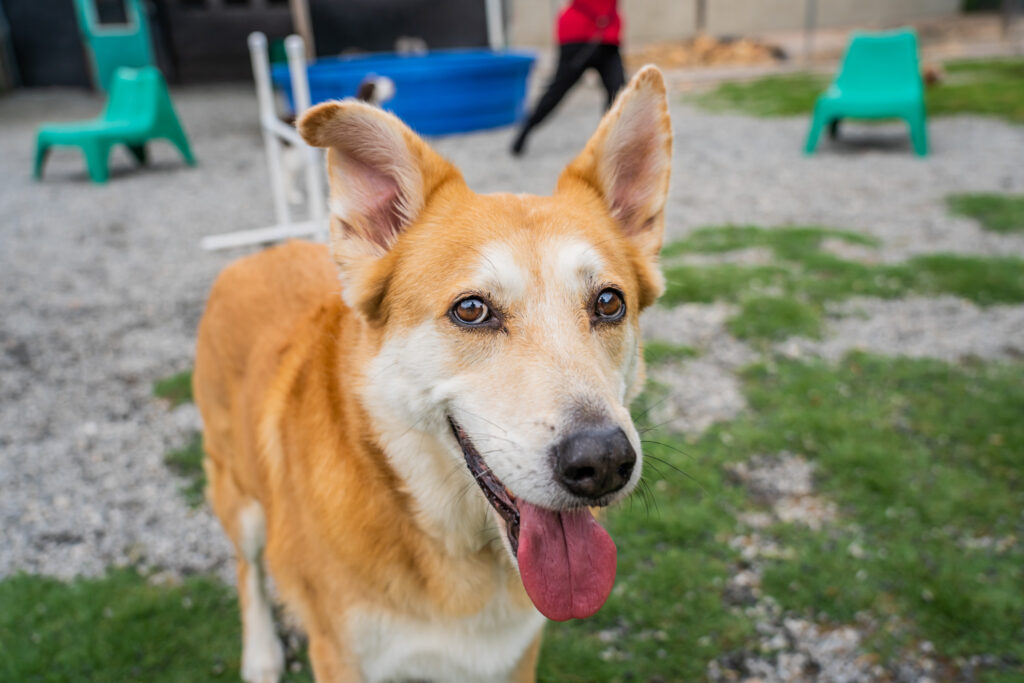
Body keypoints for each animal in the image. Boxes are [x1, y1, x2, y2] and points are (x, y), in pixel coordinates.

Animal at [193, 65, 671, 683]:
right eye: (471, 310)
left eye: (610, 303)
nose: (604, 463)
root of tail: (259, 255)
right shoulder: (341, 656)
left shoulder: (516, 655)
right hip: (239, 496)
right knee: (246, 567)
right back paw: (261, 654)